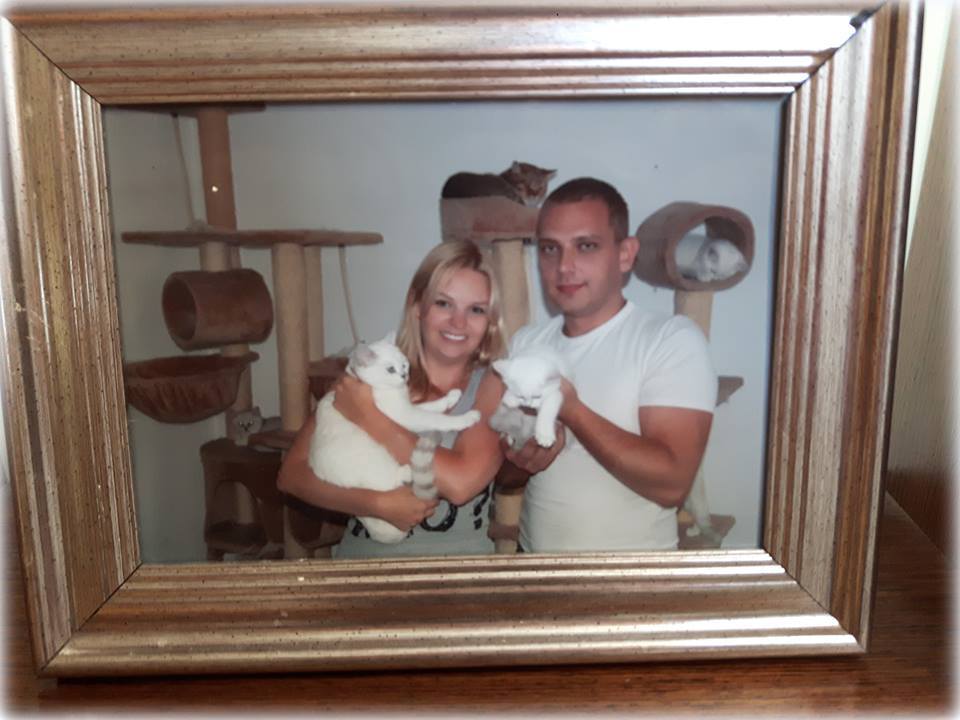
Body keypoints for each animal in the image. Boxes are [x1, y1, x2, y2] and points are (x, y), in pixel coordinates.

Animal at [309, 332, 481, 544]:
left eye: (404, 364)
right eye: (390, 369)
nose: (404, 376)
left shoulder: (408, 407)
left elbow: (431, 407)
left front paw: (451, 397)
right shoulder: (405, 415)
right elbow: (437, 418)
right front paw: (466, 418)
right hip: (375, 458)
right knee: (395, 479)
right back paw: (409, 471)